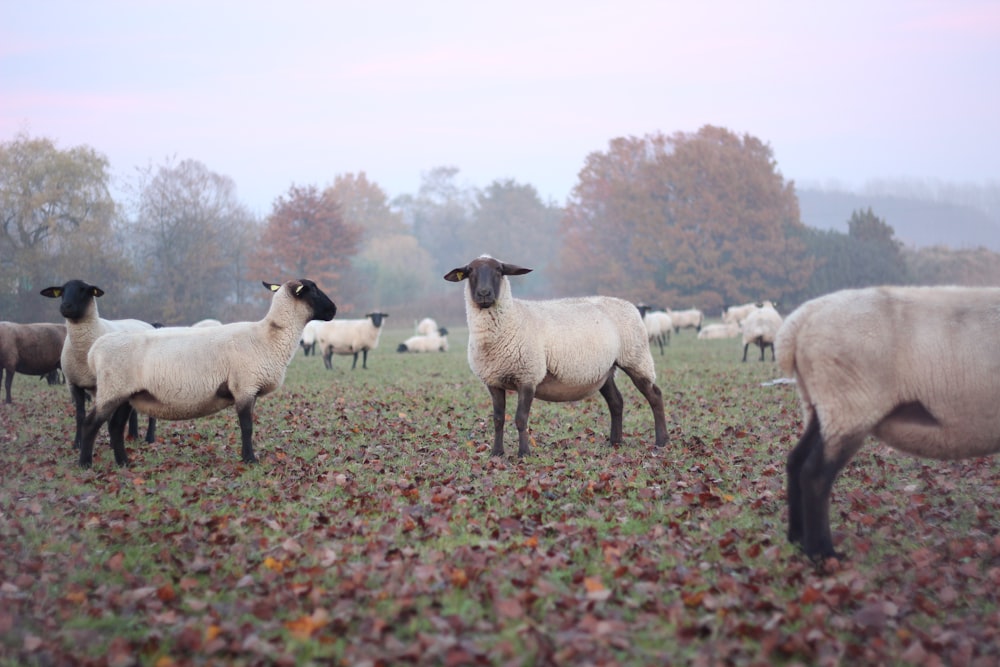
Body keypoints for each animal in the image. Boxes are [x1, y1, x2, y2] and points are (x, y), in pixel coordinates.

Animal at [41, 280, 157, 452]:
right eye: (61, 291)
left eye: (84, 289)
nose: (66, 306)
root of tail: (145, 323)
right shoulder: (74, 383)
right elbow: (80, 415)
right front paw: (78, 443)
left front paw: (111, 444)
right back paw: (133, 435)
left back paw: (150, 438)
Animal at [78, 280, 336, 468]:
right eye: (313, 290)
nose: (334, 310)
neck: (269, 336)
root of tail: (95, 350)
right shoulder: (244, 386)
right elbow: (247, 427)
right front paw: (250, 460)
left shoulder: (248, 389)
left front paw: (247, 457)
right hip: (113, 390)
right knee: (91, 424)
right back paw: (85, 463)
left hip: (124, 394)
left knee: (114, 427)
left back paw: (124, 463)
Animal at [444, 256, 664, 460]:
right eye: (469, 272)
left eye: (499, 271)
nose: (484, 294)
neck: (512, 318)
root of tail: (628, 304)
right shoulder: (493, 381)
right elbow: (498, 419)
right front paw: (496, 453)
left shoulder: (528, 376)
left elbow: (520, 418)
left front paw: (524, 453)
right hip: (604, 370)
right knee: (616, 402)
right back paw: (615, 442)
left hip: (636, 357)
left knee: (655, 395)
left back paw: (661, 441)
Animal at [776, 288, 1000, 564]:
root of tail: (800, 320)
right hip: (848, 404)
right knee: (815, 475)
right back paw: (823, 553)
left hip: (822, 406)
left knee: (796, 462)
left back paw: (797, 538)